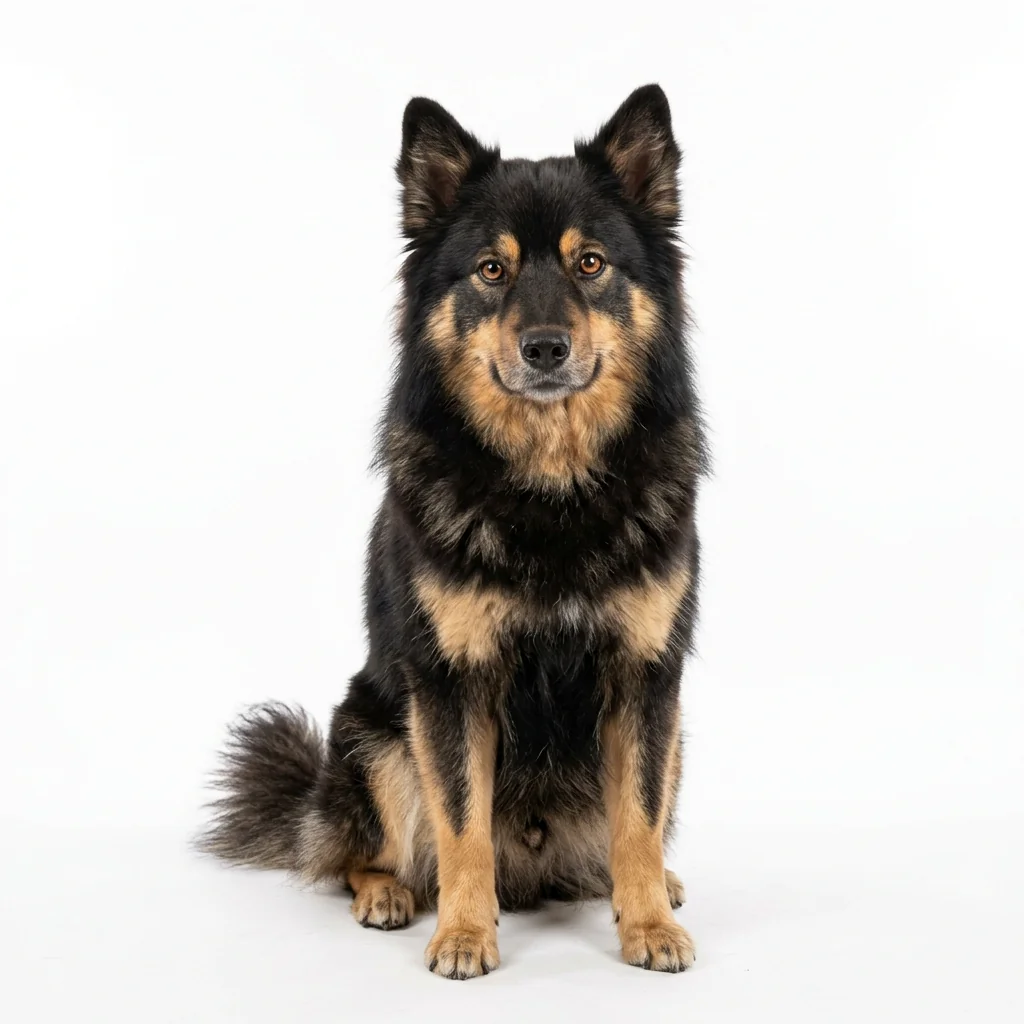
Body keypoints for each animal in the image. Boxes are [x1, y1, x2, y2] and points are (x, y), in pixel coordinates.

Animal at [199, 84, 706, 979]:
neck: (550, 491)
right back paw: (387, 895)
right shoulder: (451, 684)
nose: (545, 348)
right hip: (374, 737)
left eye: (590, 263)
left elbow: (638, 822)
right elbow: (462, 825)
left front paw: (647, 924)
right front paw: (465, 936)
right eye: (491, 269)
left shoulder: (647, 678)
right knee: (362, 853)